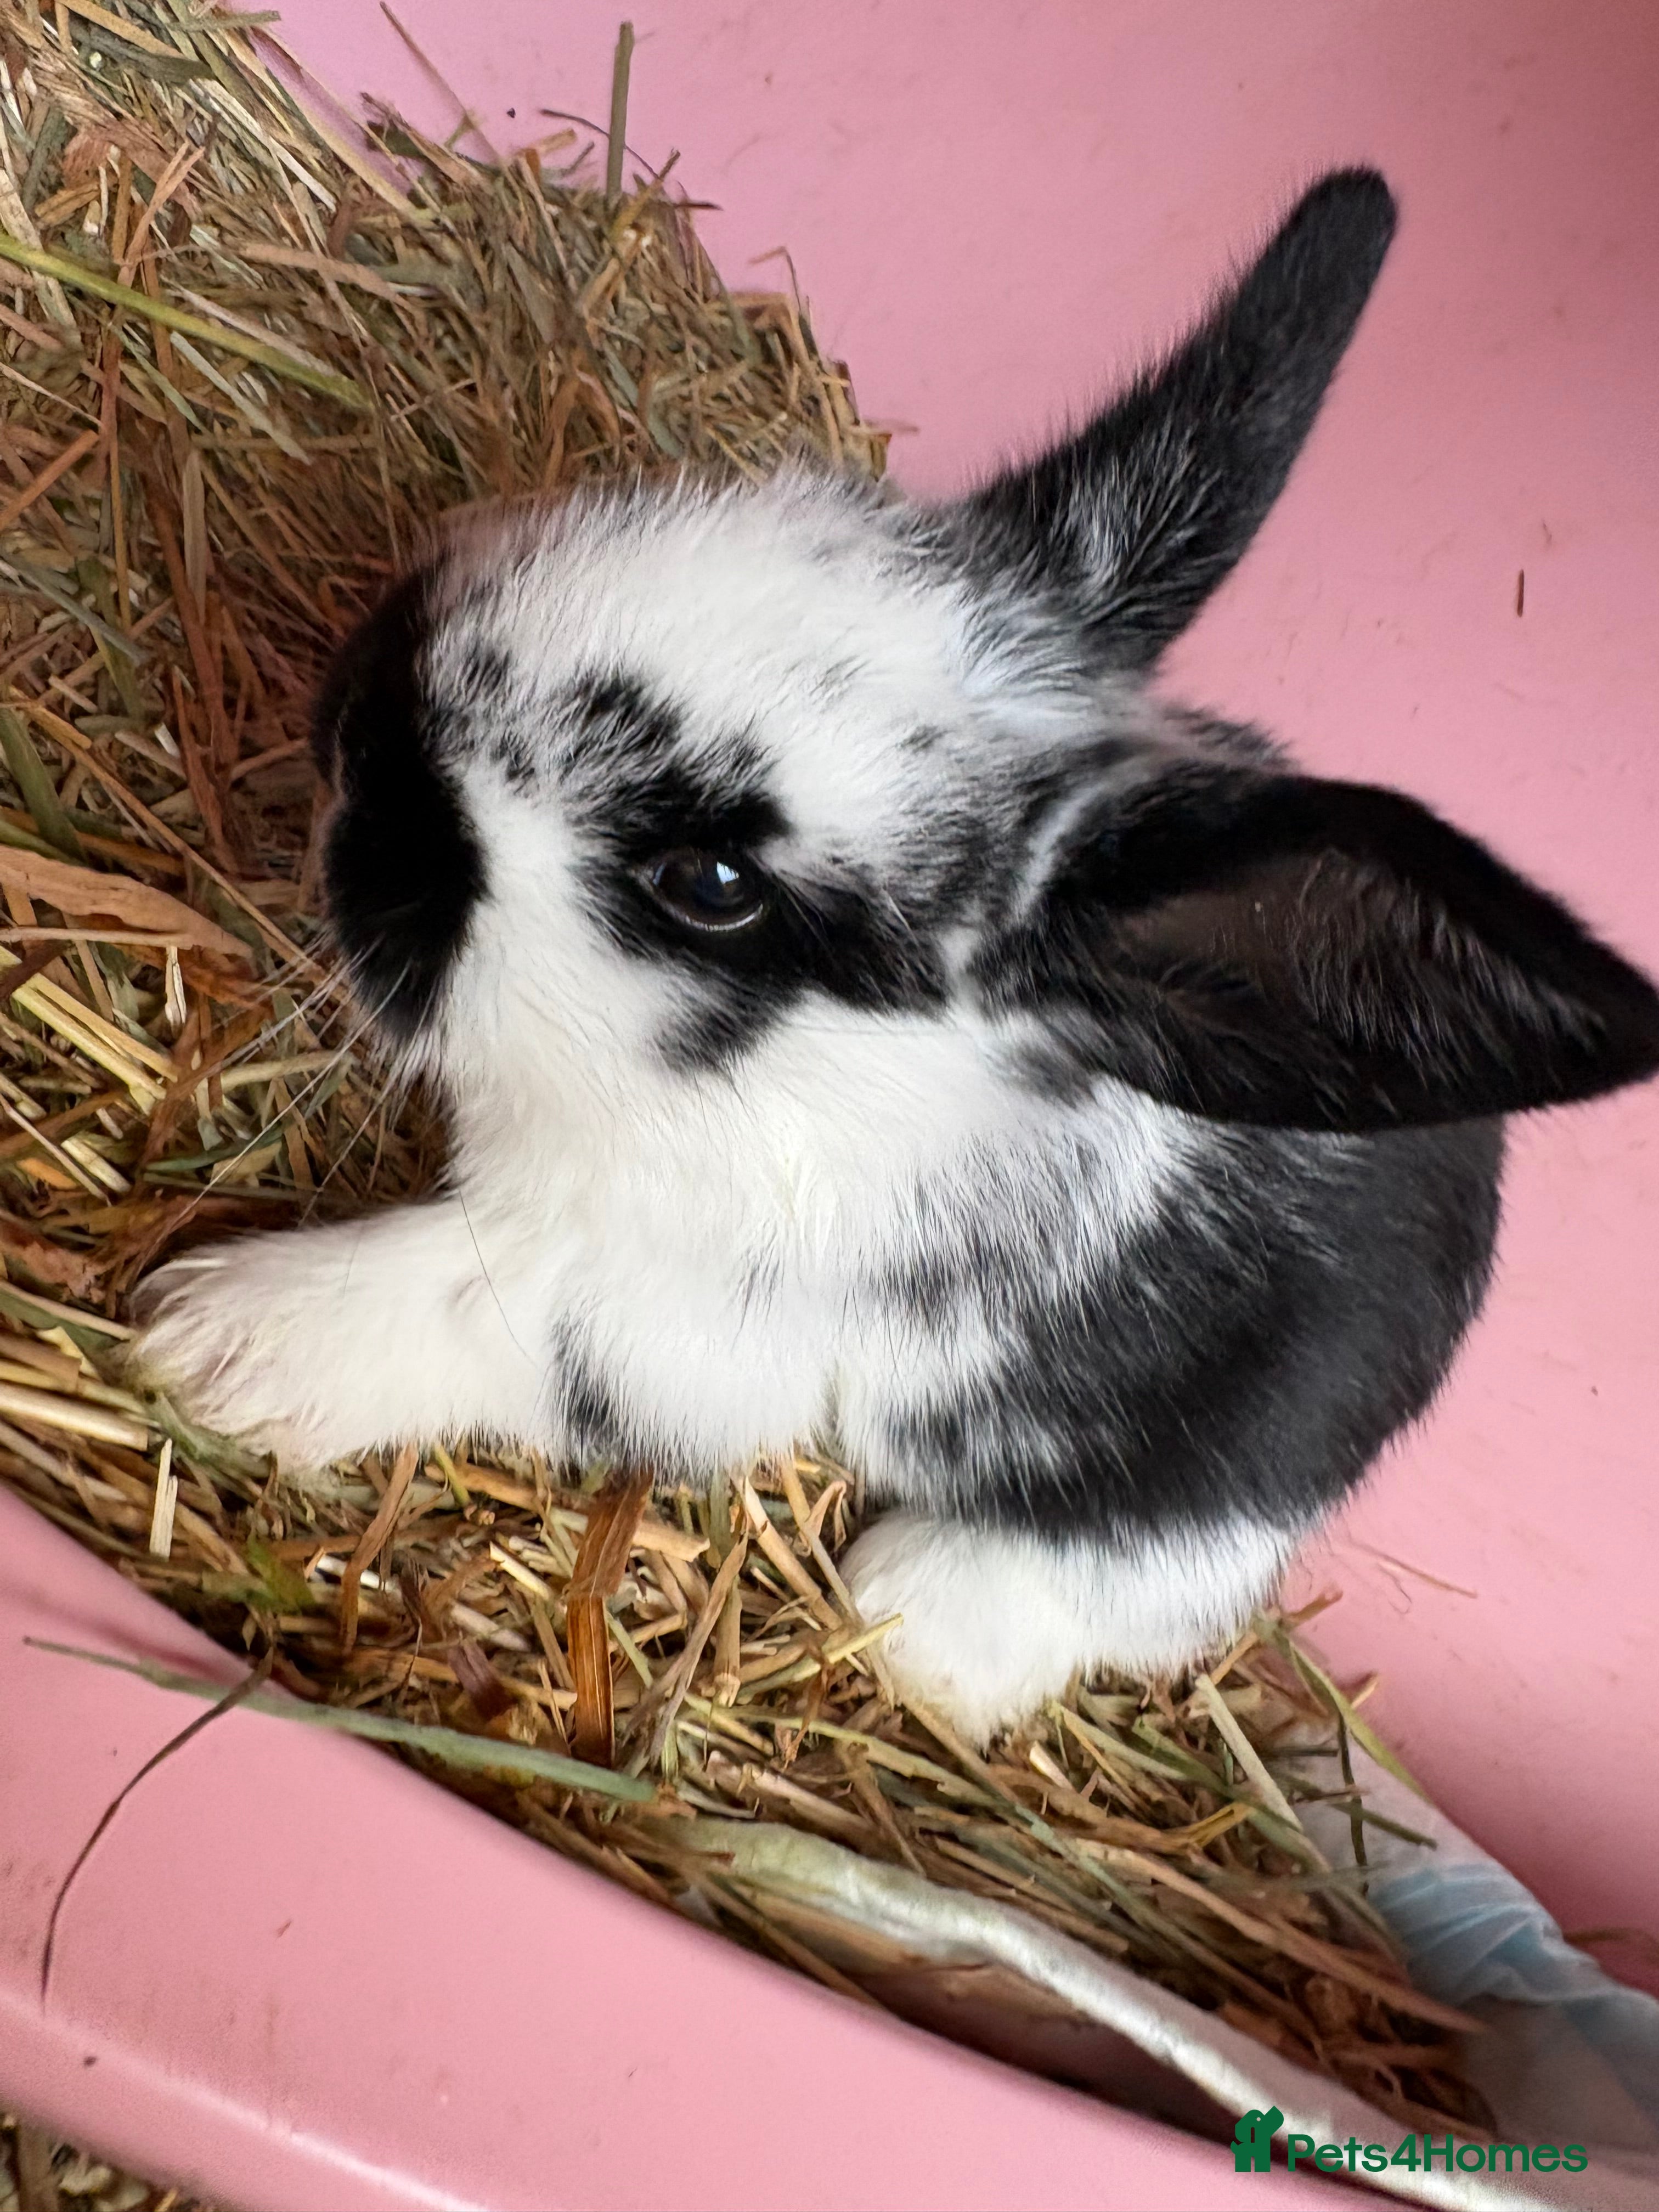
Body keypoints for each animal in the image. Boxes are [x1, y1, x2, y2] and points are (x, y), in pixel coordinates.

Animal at [131, 170, 1659, 1743]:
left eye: (712, 884)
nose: (357, 741)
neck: (811, 1079)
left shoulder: (680, 1318)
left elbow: (476, 1295)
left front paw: (214, 1343)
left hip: (1216, 1482)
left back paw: (916, 1623)